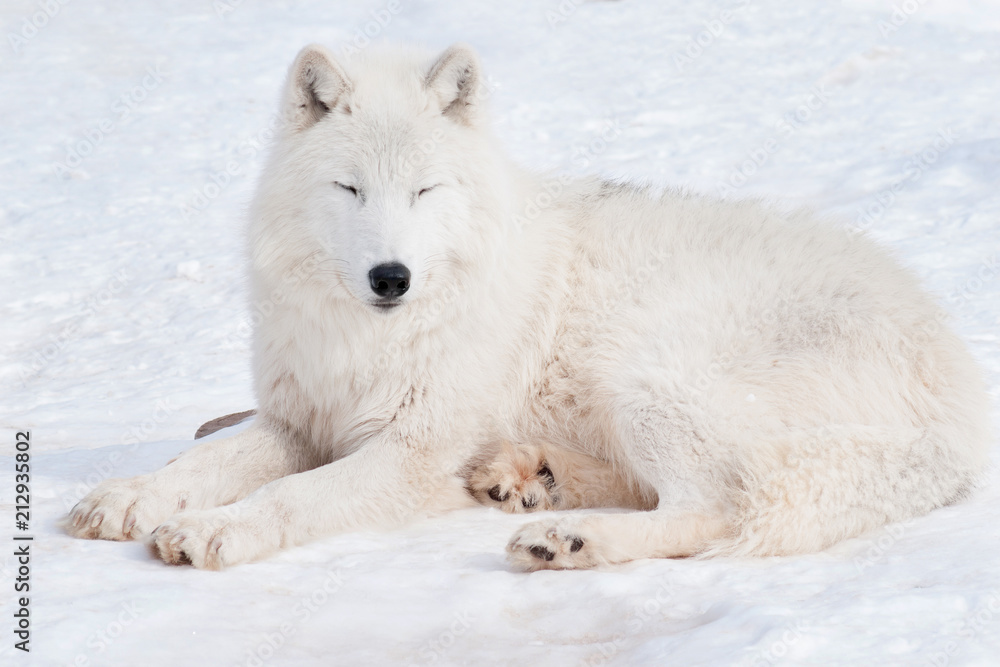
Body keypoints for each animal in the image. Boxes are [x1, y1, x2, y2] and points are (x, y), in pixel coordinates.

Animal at [66, 43, 991, 571]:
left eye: (425, 190)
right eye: (351, 189)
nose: (391, 276)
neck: (375, 337)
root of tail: (956, 402)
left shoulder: (408, 450)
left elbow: (291, 497)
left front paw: (219, 530)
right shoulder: (301, 420)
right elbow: (198, 460)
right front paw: (128, 498)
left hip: (648, 372)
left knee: (715, 507)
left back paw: (568, 539)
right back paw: (527, 481)